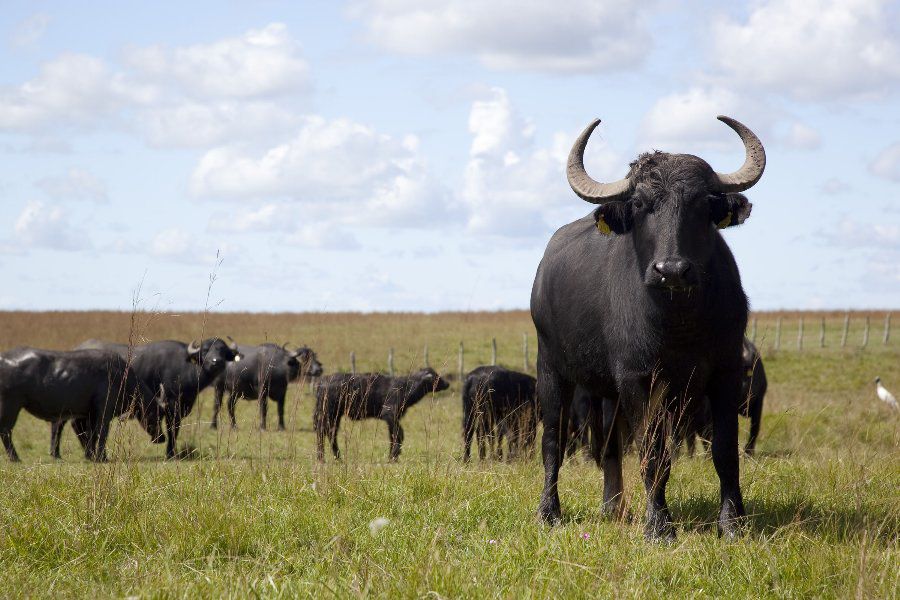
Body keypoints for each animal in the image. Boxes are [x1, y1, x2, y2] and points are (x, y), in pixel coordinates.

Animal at [0, 344, 163, 462]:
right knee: (6, 431)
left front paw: (92, 455)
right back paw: (15, 457)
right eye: (156, 415)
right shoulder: (104, 412)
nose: (162, 438)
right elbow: (102, 433)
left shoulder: (90, 414)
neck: (120, 376)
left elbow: (91, 435)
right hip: (10, 406)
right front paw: (102, 457)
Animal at [75, 338, 239, 460]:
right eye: (205, 350)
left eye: (223, 351)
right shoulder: (172, 406)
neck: (186, 369)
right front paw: (171, 453)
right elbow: (173, 429)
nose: (216, 361)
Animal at [316, 368, 450, 462]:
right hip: (328, 413)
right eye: (436, 376)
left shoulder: (393, 419)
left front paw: (393, 455)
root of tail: (323, 381)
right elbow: (399, 434)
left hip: (335, 415)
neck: (405, 387)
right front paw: (394, 456)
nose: (447, 383)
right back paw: (322, 458)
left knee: (331, 432)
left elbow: (393, 435)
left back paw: (336, 457)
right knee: (323, 431)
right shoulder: (390, 415)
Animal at [532, 116, 768, 540]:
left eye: (701, 203)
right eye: (641, 205)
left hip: (607, 391)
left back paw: (613, 506)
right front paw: (658, 525)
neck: (679, 323)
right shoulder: (639, 379)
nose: (671, 270)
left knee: (608, 444)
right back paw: (549, 512)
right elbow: (653, 453)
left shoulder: (725, 373)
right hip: (552, 369)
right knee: (553, 441)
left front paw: (732, 522)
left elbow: (725, 450)